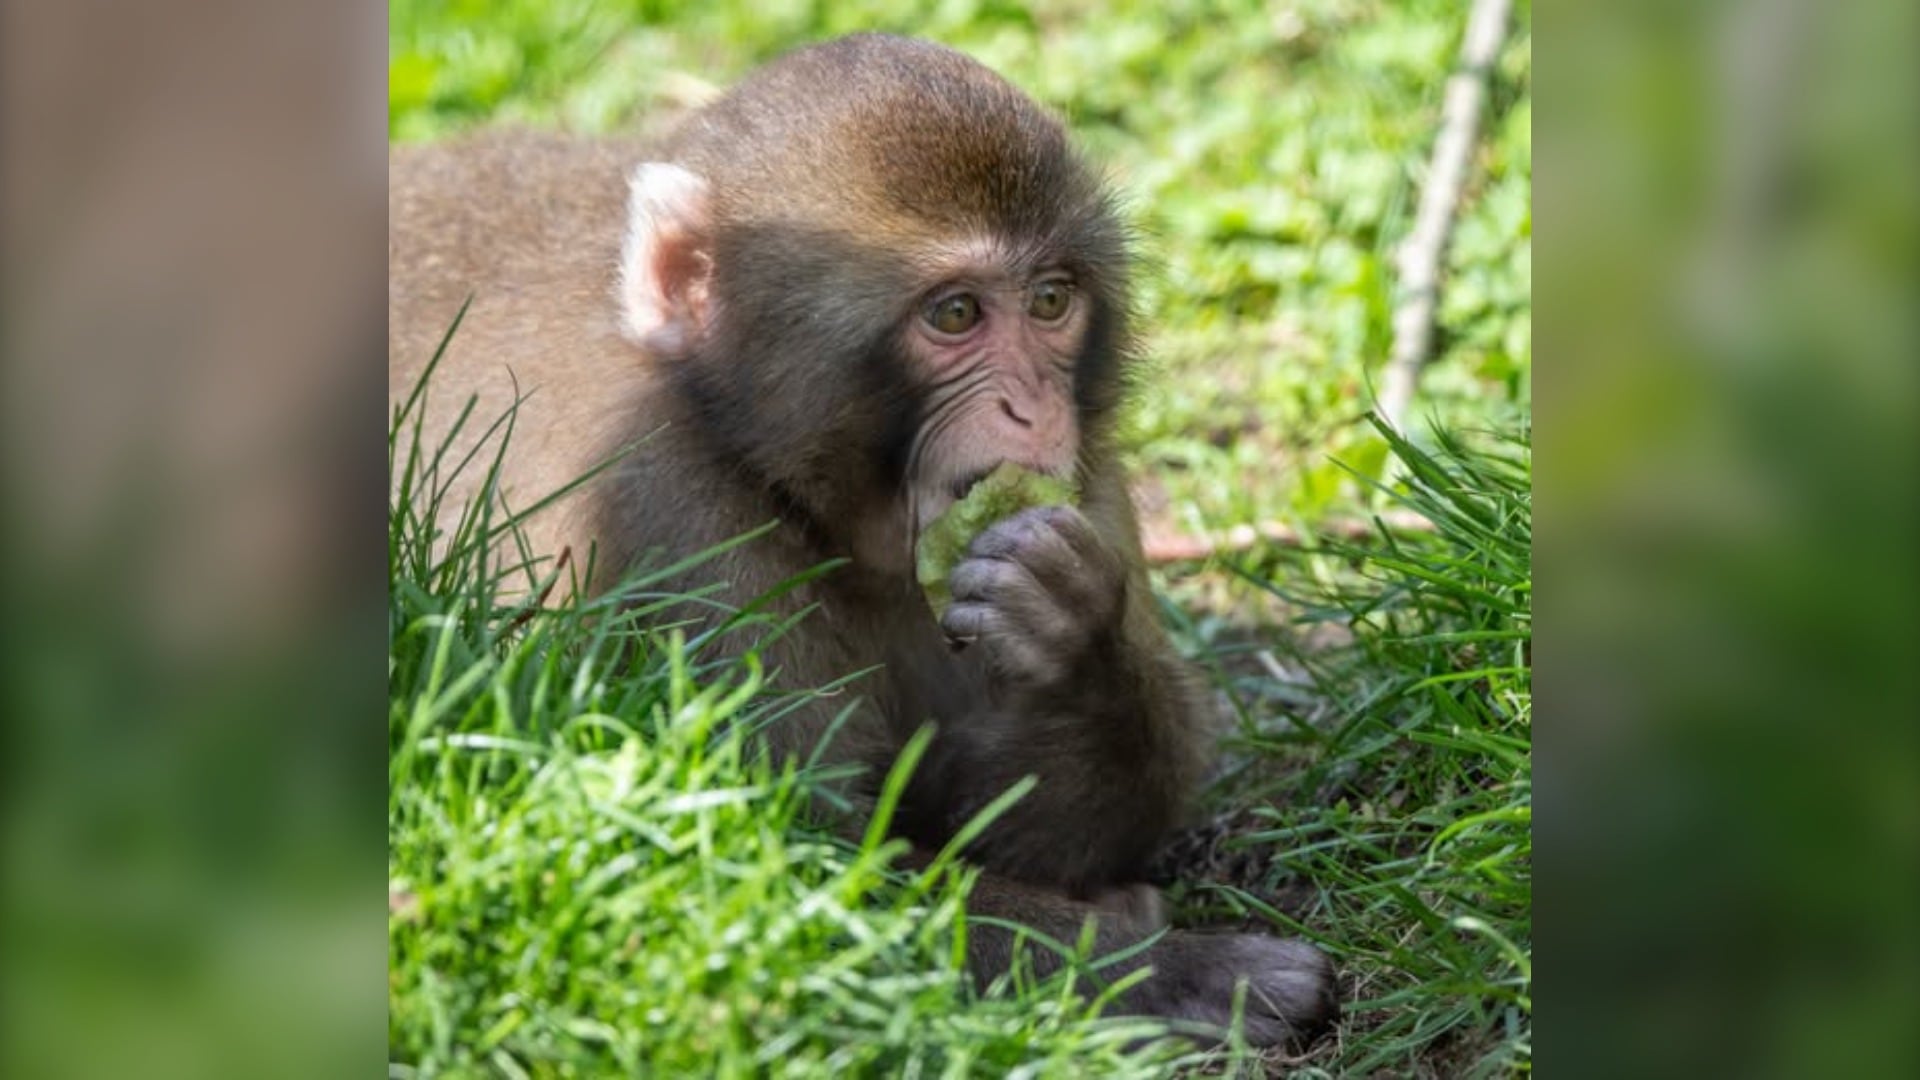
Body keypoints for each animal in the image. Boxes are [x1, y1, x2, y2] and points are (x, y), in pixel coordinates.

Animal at [389, 34, 1336, 1047]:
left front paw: (1073, 633)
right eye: (955, 315)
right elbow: (768, 873)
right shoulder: (669, 517)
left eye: (1050, 301)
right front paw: (1195, 972)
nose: (1033, 408)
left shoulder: (1096, 492)